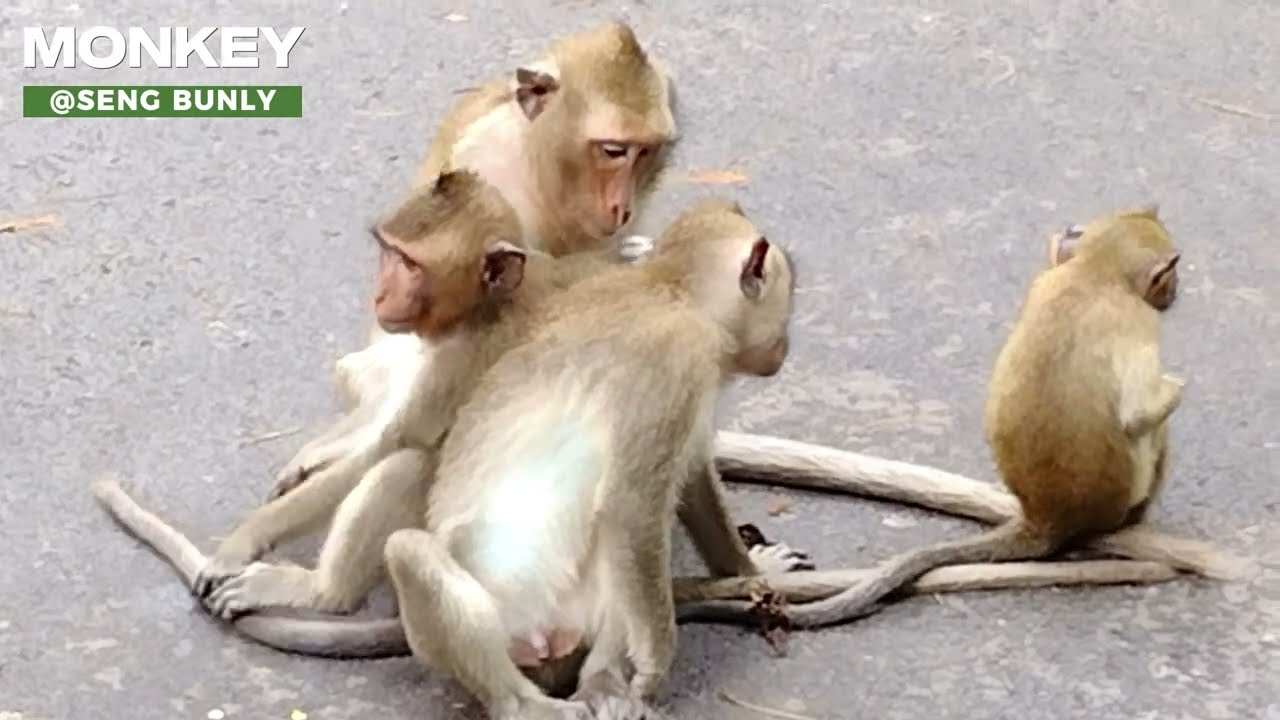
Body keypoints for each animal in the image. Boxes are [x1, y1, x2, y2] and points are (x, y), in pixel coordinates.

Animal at [380, 197, 796, 719]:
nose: (783, 345)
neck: (671, 291)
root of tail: (545, 637)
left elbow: (691, 479)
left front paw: (749, 571)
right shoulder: (675, 359)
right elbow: (633, 508)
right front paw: (657, 668)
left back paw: (602, 682)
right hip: (505, 628)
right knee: (408, 550)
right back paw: (527, 705)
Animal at [759, 205, 1188, 629]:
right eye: (1169, 276)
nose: (1174, 291)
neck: (1096, 272)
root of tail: (1045, 516)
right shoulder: (1139, 321)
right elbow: (1138, 414)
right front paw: (1177, 385)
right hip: (1121, 504)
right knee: (1155, 434)